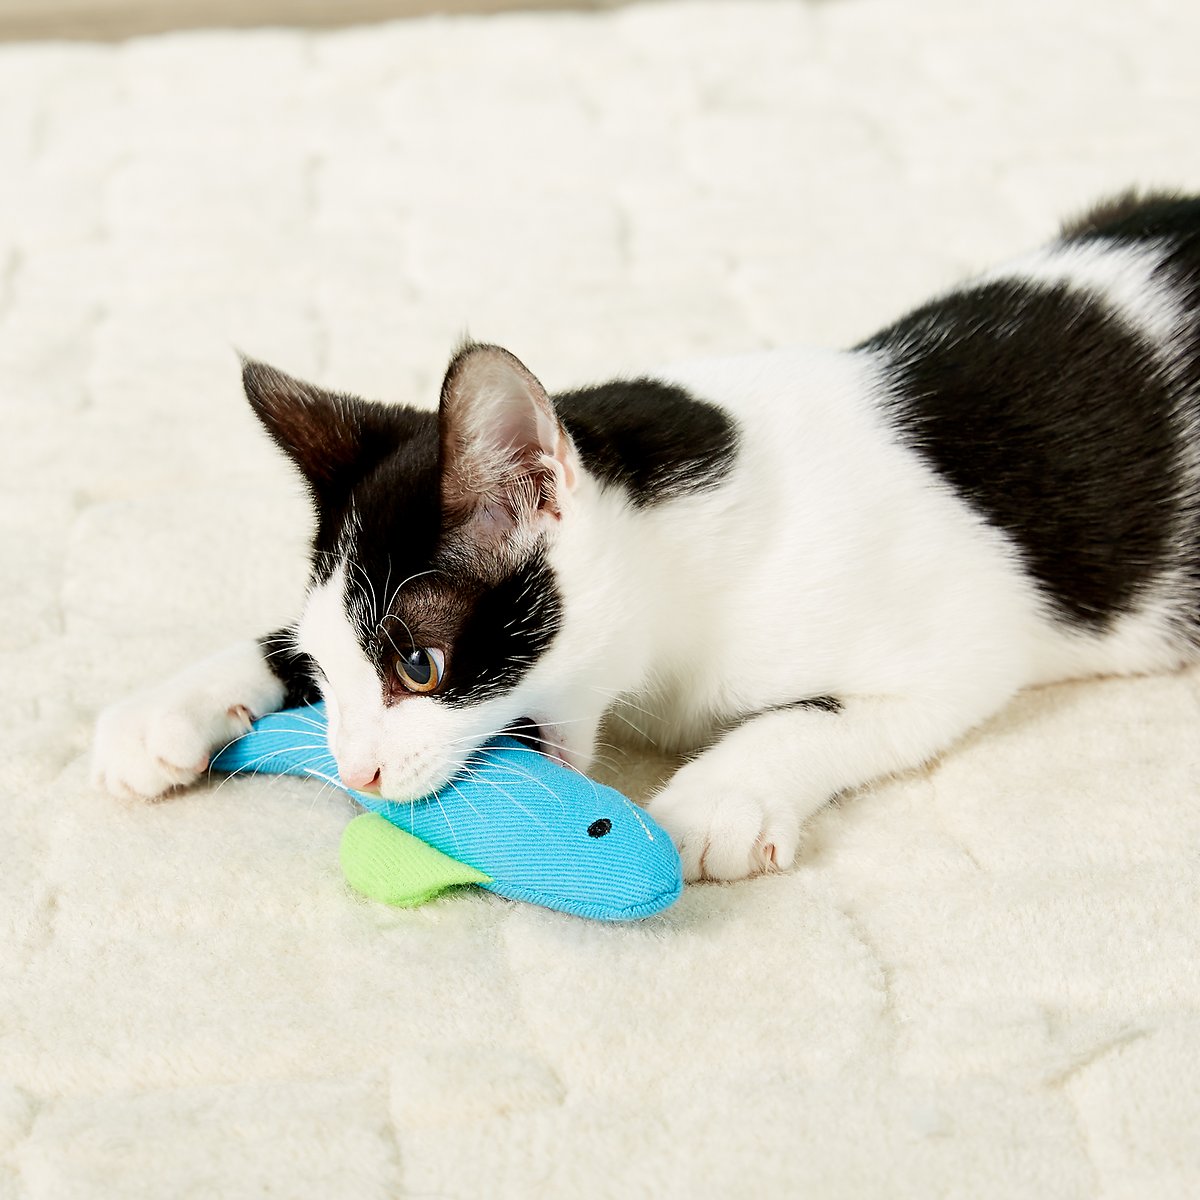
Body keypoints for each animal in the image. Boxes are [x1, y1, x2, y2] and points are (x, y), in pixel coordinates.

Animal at [91, 194, 1200, 883]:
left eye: (420, 666)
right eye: (330, 670)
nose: (356, 772)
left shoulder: (972, 631)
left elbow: (832, 712)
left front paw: (717, 799)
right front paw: (169, 705)